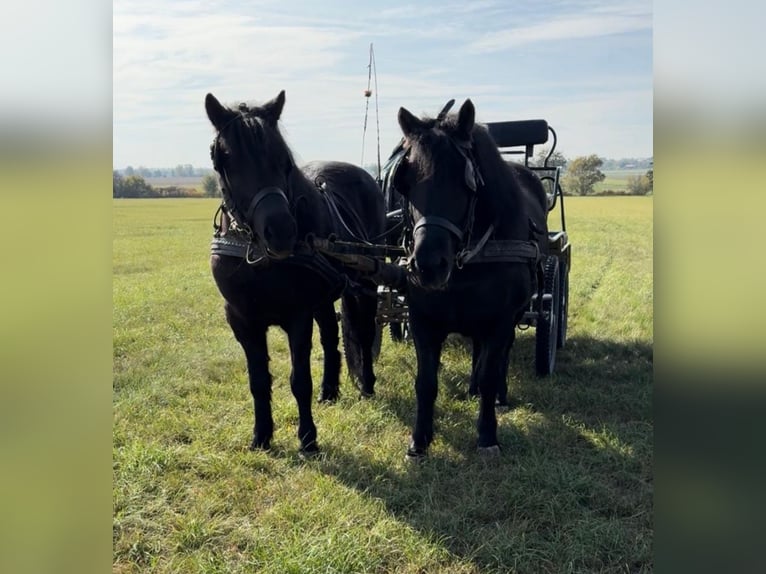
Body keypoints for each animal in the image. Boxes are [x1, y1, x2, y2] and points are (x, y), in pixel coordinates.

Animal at [205, 90, 385, 455]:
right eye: (225, 160)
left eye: (283, 160)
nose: (281, 231)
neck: (258, 256)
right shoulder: (242, 320)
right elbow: (258, 381)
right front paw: (261, 435)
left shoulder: (297, 315)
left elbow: (299, 379)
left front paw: (308, 439)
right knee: (331, 336)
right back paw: (330, 390)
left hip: (365, 283)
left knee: (362, 332)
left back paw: (367, 384)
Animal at [387, 98, 549, 458]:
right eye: (405, 181)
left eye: (466, 183)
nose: (428, 265)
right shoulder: (422, 320)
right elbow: (426, 381)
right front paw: (419, 440)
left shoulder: (500, 320)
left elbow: (491, 371)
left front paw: (487, 436)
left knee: (499, 358)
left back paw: (499, 395)